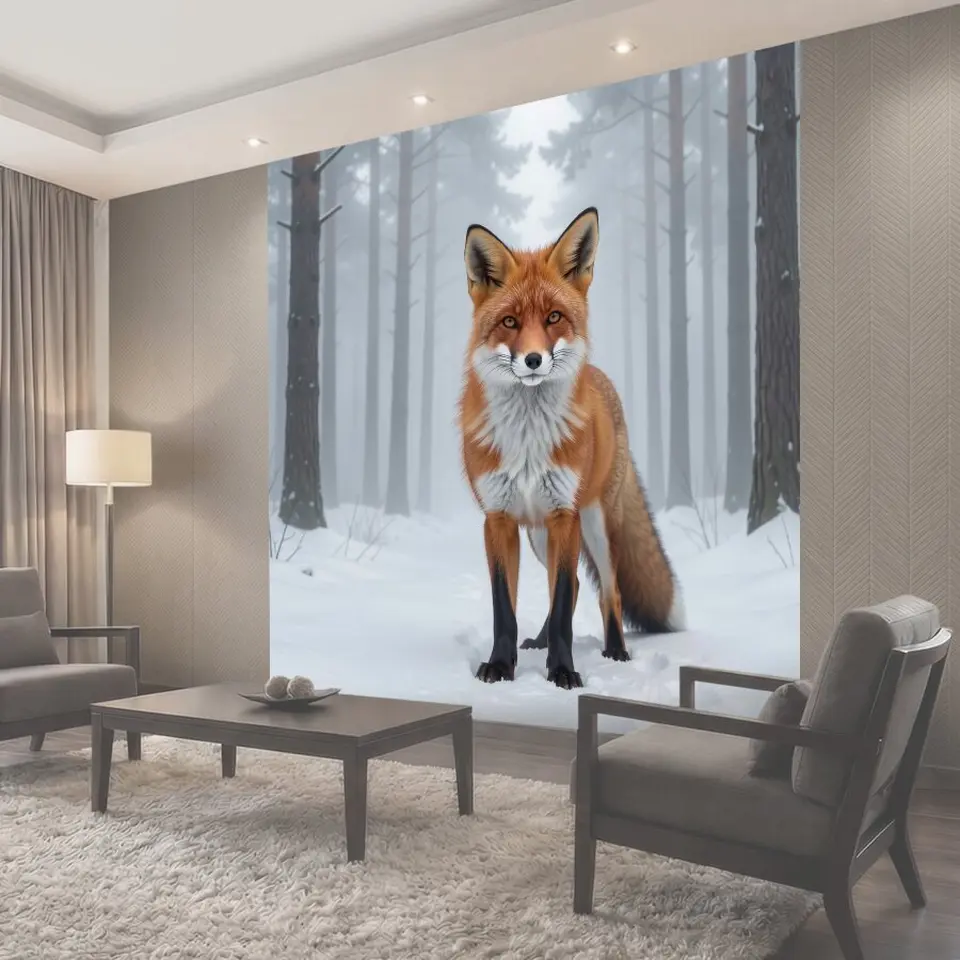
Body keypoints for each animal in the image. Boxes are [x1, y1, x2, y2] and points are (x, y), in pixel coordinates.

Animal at [458, 206, 684, 690]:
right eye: (510, 322)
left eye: (553, 317)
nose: (533, 360)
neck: (528, 438)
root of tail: (601, 378)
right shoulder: (498, 519)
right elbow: (505, 608)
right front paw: (501, 666)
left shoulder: (567, 515)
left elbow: (563, 603)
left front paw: (563, 671)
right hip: (539, 534)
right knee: (578, 586)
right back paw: (539, 644)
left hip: (595, 525)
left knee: (608, 591)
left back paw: (615, 650)